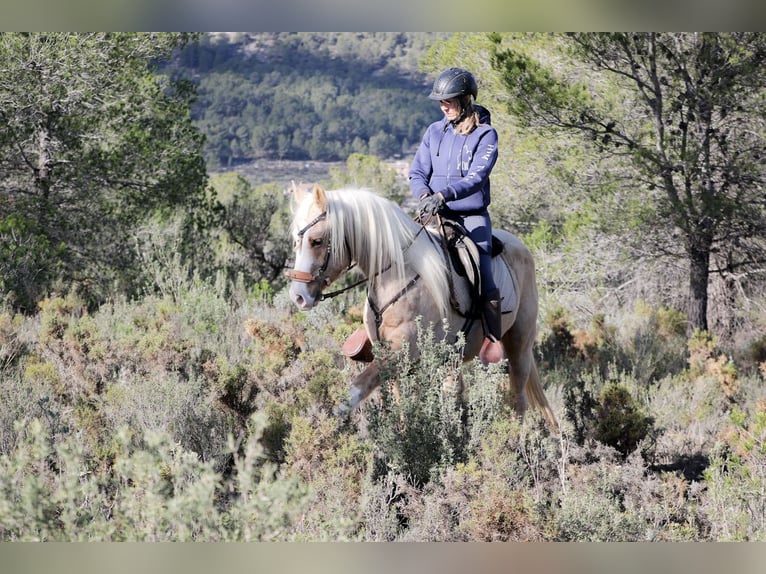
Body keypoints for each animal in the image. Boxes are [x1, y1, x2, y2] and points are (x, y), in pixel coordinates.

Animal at [284, 182, 560, 434]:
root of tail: (520, 247)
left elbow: (355, 389)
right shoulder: (393, 358)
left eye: (316, 241)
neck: (397, 273)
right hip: (455, 357)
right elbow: (400, 406)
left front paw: (326, 425)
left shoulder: (401, 351)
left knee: (518, 399)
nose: (299, 297)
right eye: (296, 241)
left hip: (519, 344)